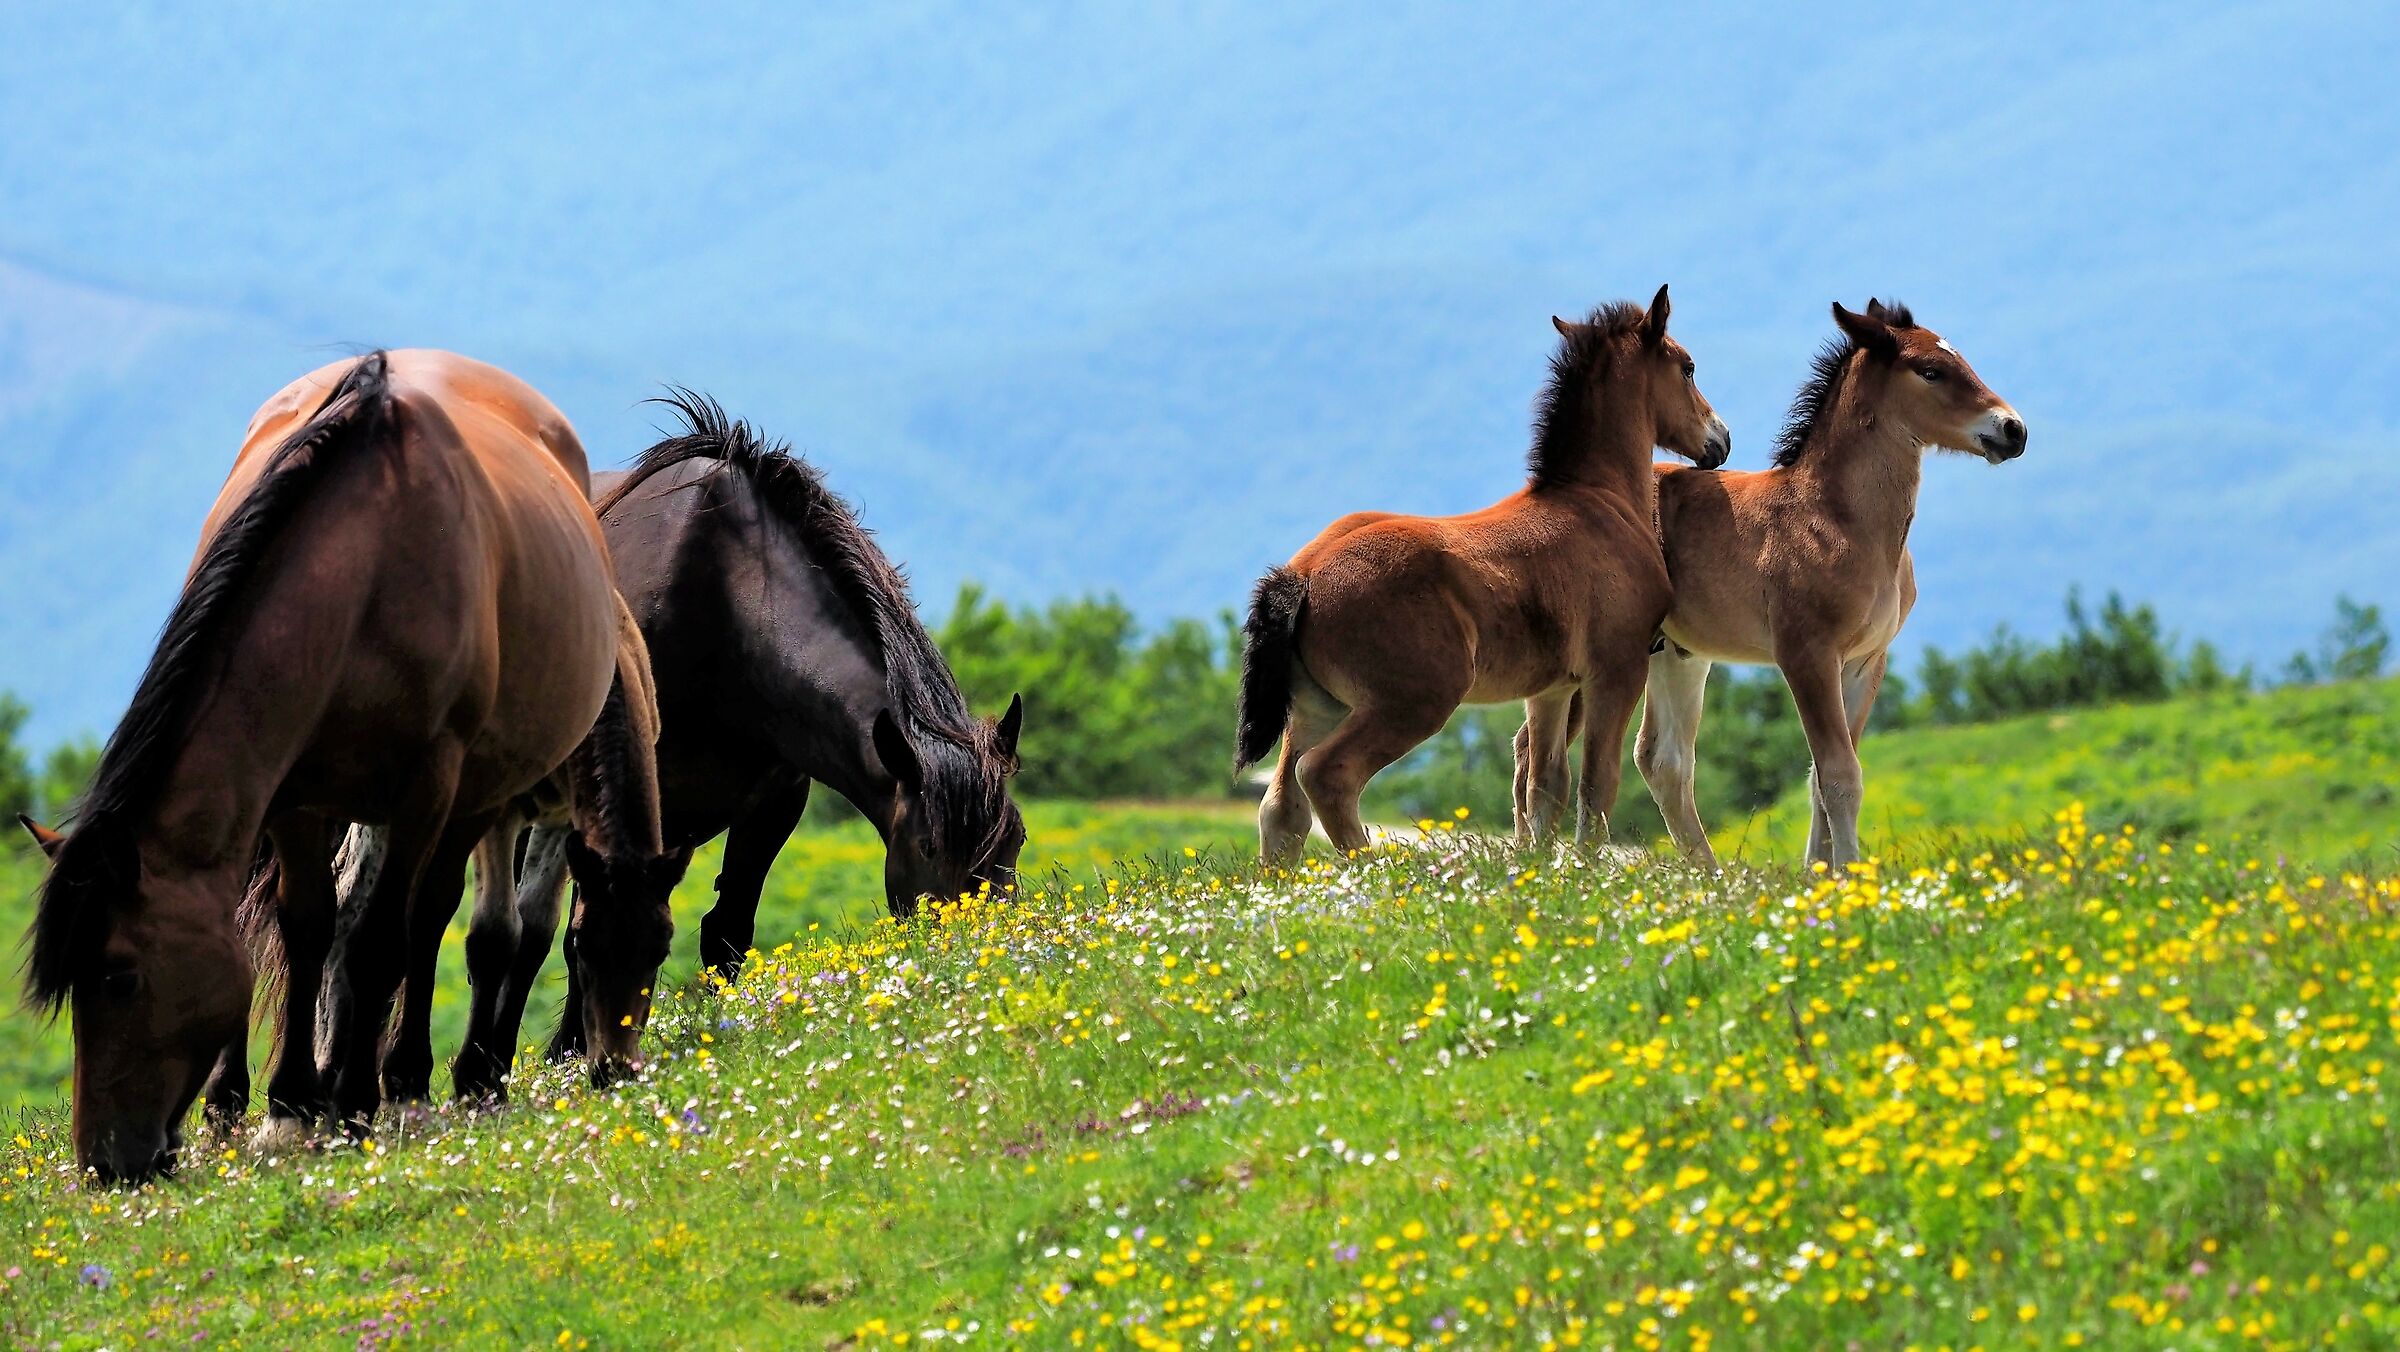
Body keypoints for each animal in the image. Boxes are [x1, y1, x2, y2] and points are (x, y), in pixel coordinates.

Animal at [16, 350, 623, 1181]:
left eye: (119, 976)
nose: (107, 1164)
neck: (365, 570)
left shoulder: (425, 788)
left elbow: (378, 943)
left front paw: (355, 1102)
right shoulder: (298, 800)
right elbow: (306, 927)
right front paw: (293, 1101)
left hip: (469, 799)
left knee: (430, 919)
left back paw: (406, 1079)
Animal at [1232, 287, 1730, 863]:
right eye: (1687, 367)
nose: (1721, 440)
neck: (1598, 501)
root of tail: (1303, 574)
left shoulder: (1552, 688)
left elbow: (1545, 788)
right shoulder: (1617, 670)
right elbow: (1596, 786)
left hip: (1317, 705)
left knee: (1281, 806)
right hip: (1413, 700)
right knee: (1327, 776)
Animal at [1513, 300, 2026, 868]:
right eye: (1931, 371)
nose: (2013, 429)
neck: (1839, 520)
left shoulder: (1866, 661)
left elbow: (1822, 778)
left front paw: (1823, 874)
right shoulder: (1806, 654)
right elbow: (1839, 774)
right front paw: (1844, 873)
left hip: (1675, 653)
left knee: (1660, 760)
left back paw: (1709, 876)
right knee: (1535, 757)